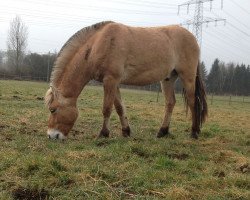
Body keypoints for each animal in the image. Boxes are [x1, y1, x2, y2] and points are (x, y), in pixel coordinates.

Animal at [44, 21, 207, 141]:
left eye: (53, 109)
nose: (51, 135)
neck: (98, 45)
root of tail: (193, 37)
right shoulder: (113, 82)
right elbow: (119, 108)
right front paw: (126, 131)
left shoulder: (110, 80)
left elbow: (107, 108)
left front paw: (103, 134)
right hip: (168, 79)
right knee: (170, 103)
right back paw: (162, 132)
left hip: (188, 77)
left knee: (193, 102)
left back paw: (194, 132)